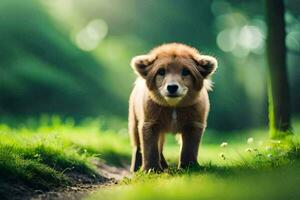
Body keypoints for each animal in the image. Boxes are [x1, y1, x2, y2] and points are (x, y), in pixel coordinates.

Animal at [127, 42, 217, 172]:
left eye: (186, 71)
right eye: (161, 71)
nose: (172, 87)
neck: (173, 106)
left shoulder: (194, 121)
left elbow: (190, 147)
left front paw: (189, 166)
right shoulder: (150, 120)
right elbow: (149, 146)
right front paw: (151, 169)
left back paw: (164, 165)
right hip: (134, 117)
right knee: (137, 143)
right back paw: (136, 167)